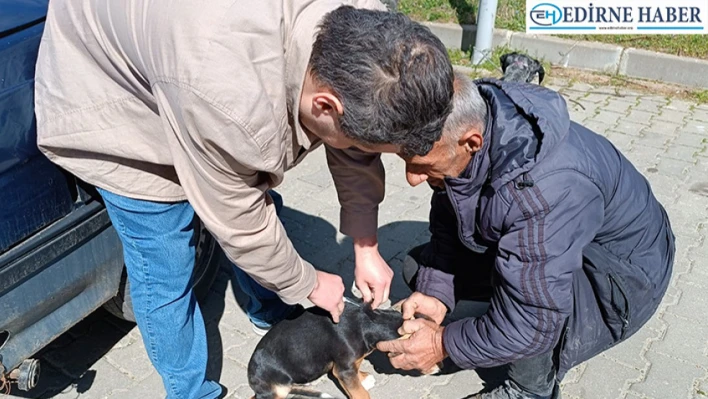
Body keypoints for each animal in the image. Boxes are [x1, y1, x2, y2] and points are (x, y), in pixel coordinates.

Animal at [248, 302, 404, 398]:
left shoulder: (349, 364)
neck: (368, 322)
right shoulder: (343, 370)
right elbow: (359, 392)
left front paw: (363, 379)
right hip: (277, 390)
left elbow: (357, 370)